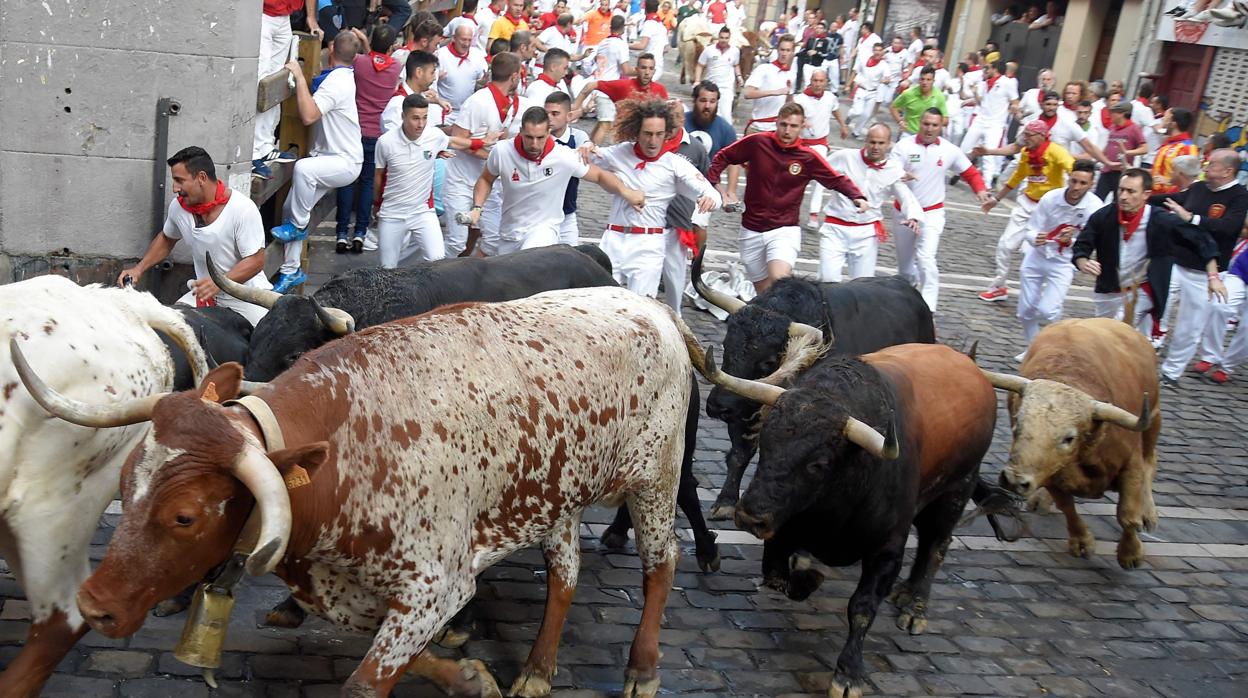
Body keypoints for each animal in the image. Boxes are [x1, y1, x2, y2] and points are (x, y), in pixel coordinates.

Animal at [983, 319, 1158, 571]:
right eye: (1017, 425)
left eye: (1069, 438)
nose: (1013, 480)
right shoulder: (1047, 473)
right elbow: (1067, 507)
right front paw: (1081, 542)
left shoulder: (1130, 464)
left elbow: (1127, 515)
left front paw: (1130, 553)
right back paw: (1040, 500)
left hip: (1154, 419)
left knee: (1150, 461)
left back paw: (1149, 513)